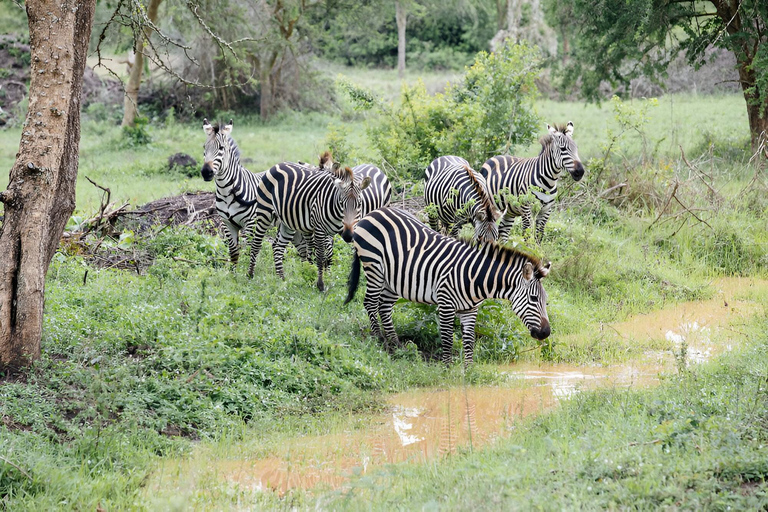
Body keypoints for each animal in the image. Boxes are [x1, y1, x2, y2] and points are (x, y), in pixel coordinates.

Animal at [202, 118, 310, 266]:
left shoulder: (251, 223)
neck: (226, 193)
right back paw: (304, 269)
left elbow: (248, 251)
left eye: (221, 148)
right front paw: (234, 272)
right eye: (204, 147)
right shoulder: (227, 224)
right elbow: (234, 254)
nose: (206, 172)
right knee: (302, 247)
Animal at [249, 162, 372, 290]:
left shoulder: (343, 231)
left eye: (359, 204)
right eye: (341, 203)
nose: (348, 236)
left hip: (287, 222)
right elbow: (320, 256)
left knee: (278, 247)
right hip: (264, 212)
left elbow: (335, 254)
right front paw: (320, 284)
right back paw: (250, 274)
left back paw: (281, 278)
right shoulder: (319, 230)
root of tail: (278, 165)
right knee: (256, 243)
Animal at [346, 206, 552, 366]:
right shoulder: (445, 304)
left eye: (546, 301)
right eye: (534, 298)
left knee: (384, 306)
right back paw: (378, 340)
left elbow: (469, 340)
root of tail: (374, 212)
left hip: (393, 278)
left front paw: (468, 369)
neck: (475, 277)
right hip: (374, 267)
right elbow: (447, 338)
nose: (546, 333)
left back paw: (395, 345)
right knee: (370, 303)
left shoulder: (470, 310)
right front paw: (447, 367)